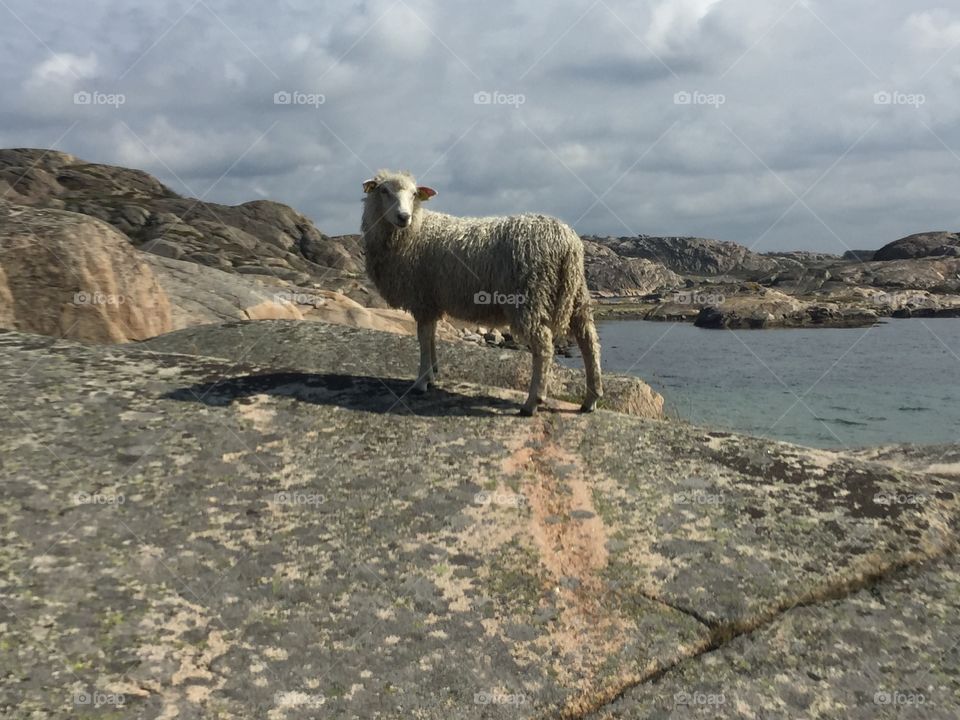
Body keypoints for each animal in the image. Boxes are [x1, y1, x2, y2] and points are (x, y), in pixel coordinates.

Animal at [360, 169, 602, 416]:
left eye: (414, 194)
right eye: (384, 191)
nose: (403, 217)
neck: (413, 232)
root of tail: (566, 241)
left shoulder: (422, 298)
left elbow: (423, 337)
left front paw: (421, 381)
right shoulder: (432, 299)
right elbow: (431, 335)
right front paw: (433, 373)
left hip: (529, 295)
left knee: (544, 346)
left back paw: (532, 402)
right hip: (576, 294)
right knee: (589, 341)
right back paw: (590, 400)